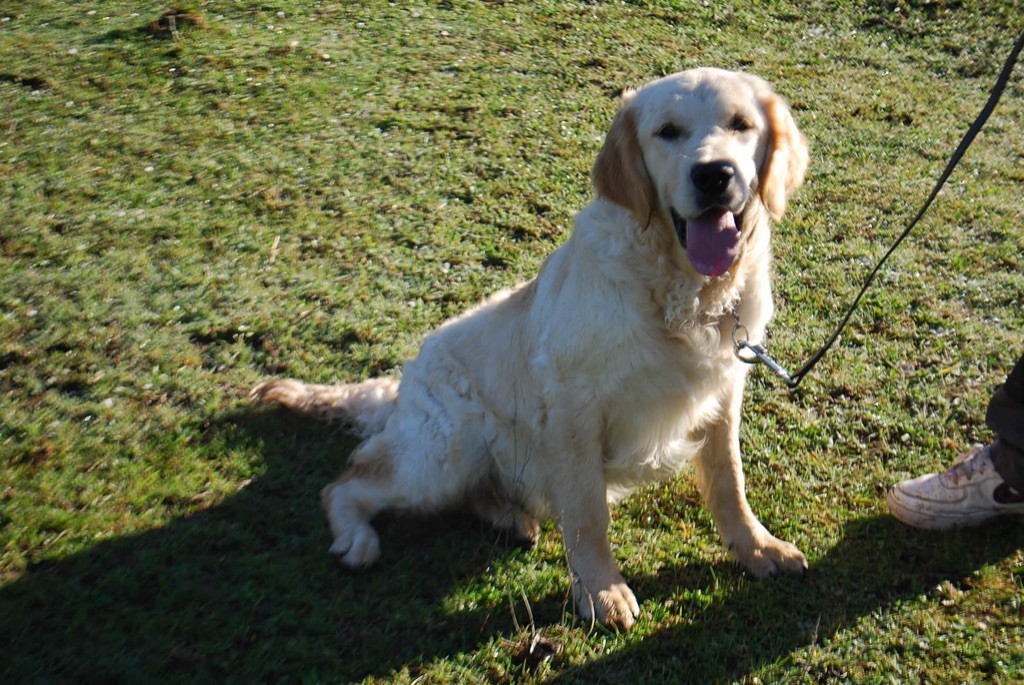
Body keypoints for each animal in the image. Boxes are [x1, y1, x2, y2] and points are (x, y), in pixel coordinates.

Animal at [253, 69, 806, 630]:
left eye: (741, 124)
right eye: (668, 132)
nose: (714, 174)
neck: (686, 296)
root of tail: (402, 383)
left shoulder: (721, 392)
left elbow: (729, 482)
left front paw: (757, 548)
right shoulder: (573, 407)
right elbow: (586, 513)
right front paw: (601, 590)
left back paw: (509, 516)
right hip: (443, 453)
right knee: (345, 483)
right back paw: (357, 539)